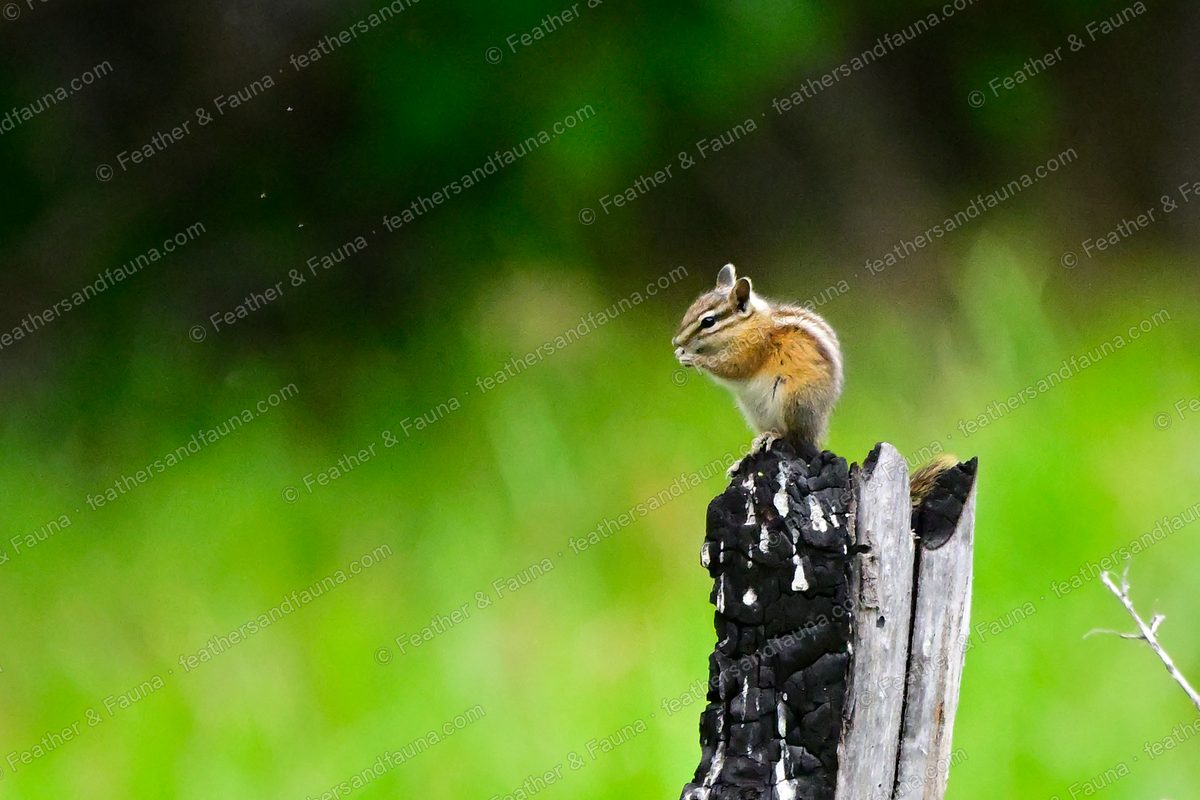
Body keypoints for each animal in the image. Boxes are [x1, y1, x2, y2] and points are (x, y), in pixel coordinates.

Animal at [672, 263, 967, 530]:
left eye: (708, 321)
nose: (676, 342)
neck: (749, 325)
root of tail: (816, 430)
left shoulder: (751, 350)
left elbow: (732, 367)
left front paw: (693, 358)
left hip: (792, 400)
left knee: (794, 437)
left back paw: (774, 436)